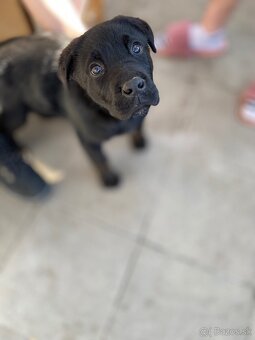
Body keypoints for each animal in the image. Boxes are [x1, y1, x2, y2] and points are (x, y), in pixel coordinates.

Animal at [0, 16, 159, 197]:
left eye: (136, 48)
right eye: (96, 70)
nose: (133, 85)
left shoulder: (139, 116)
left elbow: (138, 127)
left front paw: (139, 141)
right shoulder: (88, 140)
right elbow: (100, 160)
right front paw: (109, 179)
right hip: (15, 112)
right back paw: (16, 148)